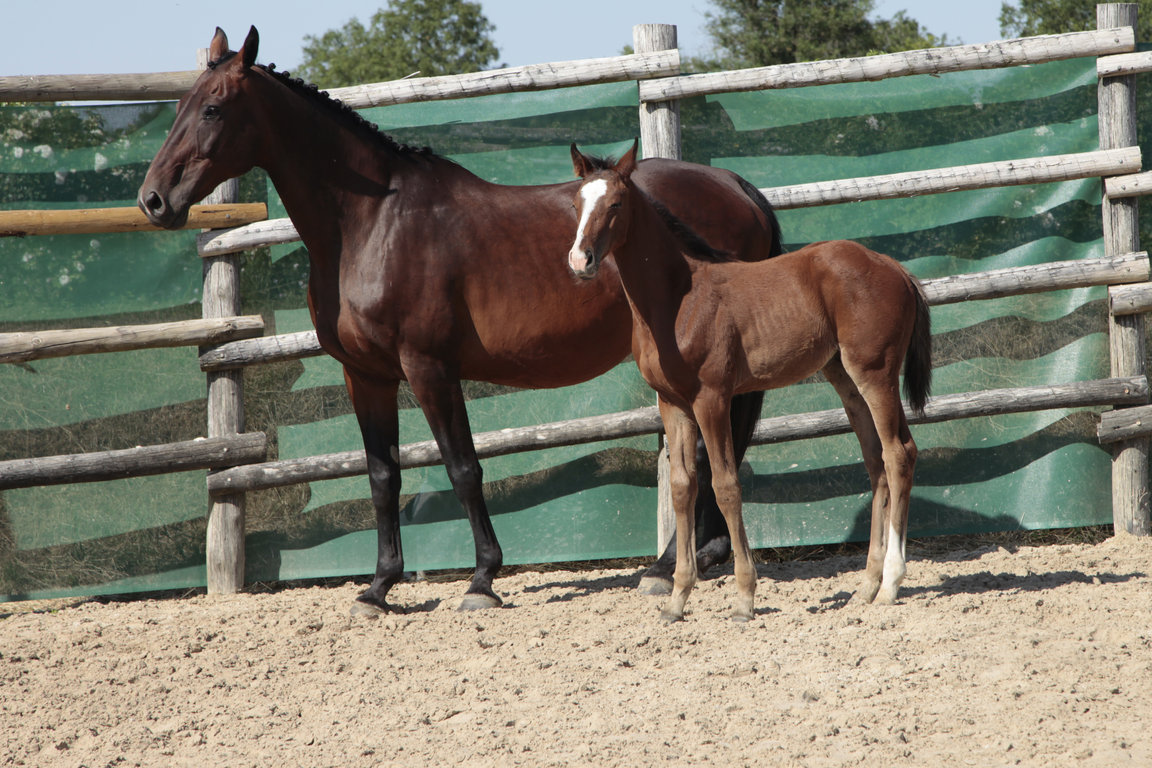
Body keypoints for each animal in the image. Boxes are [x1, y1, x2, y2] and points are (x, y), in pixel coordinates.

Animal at [134, 27, 783, 612]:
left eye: (212, 108)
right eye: (179, 108)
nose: (154, 200)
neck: (372, 223)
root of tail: (737, 186)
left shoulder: (429, 369)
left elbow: (463, 467)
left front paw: (482, 580)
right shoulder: (365, 376)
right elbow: (382, 475)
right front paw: (379, 587)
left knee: (708, 455)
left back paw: (669, 566)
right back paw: (689, 560)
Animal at [569, 141, 935, 621]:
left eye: (615, 204)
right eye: (576, 204)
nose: (580, 261)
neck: (678, 298)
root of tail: (896, 269)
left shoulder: (712, 399)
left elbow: (725, 485)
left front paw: (744, 597)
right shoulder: (672, 403)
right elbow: (682, 487)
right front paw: (676, 600)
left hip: (875, 374)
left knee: (898, 454)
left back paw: (891, 583)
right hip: (846, 380)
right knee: (875, 462)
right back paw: (867, 586)